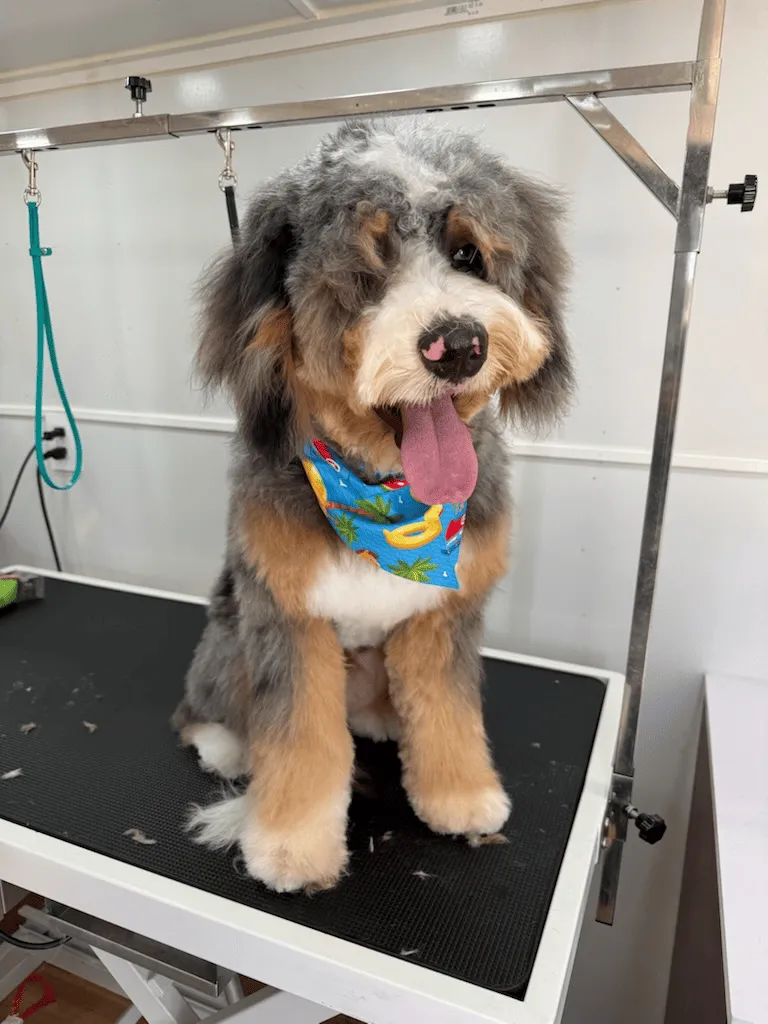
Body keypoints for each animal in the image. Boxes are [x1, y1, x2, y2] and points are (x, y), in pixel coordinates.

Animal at [172, 118, 572, 893]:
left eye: (468, 253)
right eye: (367, 270)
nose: (459, 345)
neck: (385, 493)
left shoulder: (442, 615)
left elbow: (448, 711)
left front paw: (461, 796)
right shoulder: (289, 618)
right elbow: (299, 740)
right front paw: (290, 847)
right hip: (230, 638)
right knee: (203, 705)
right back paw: (227, 746)